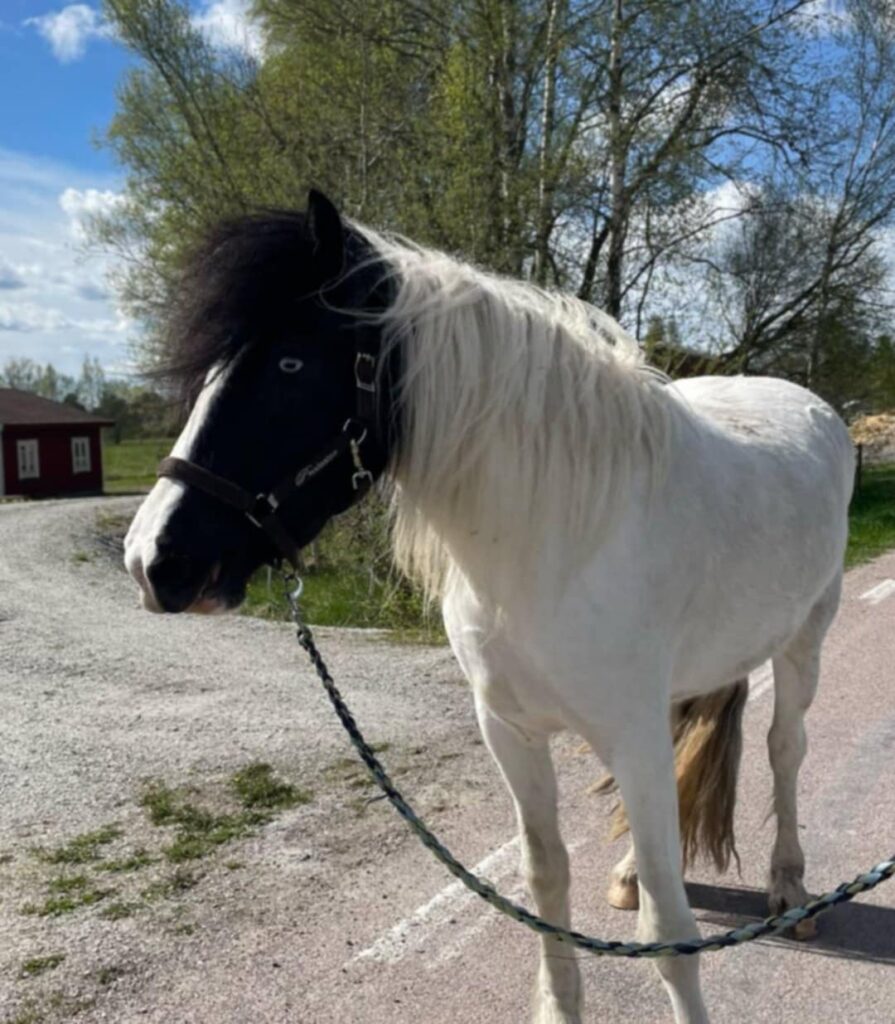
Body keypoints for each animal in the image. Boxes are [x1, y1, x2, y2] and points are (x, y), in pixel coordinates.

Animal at [124, 190, 854, 1024]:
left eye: (288, 363)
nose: (154, 561)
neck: (556, 540)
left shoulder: (626, 733)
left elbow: (669, 932)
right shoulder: (509, 730)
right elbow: (544, 881)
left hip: (802, 644)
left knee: (784, 748)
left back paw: (789, 888)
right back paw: (632, 869)